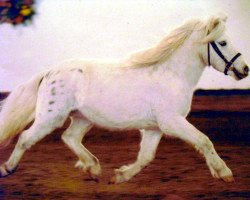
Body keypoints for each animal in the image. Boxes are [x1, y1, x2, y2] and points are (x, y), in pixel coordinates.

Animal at [0, 13, 248, 184]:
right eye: (223, 42)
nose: (244, 69)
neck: (172, 74)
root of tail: (50, 71)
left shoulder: (154, 128)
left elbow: (146, 157)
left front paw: (119, 176)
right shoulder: (171, 121)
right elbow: (204, 140)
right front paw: (225, 173)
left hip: (82, 118)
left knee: (69, 137)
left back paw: (93, 168)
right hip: (50, 117)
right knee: (25, 138)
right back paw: (7, 169)